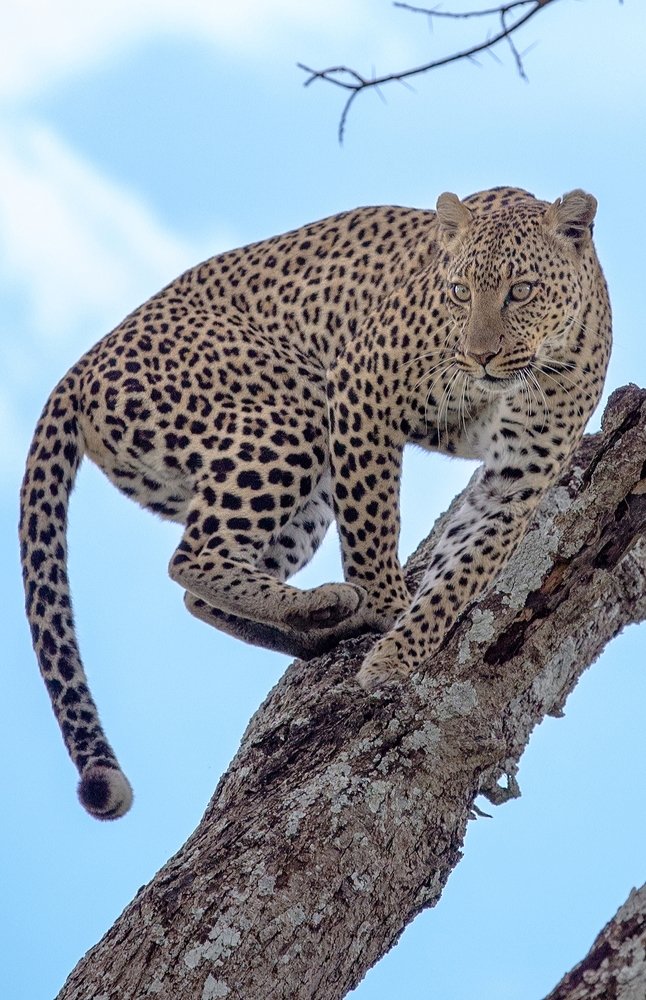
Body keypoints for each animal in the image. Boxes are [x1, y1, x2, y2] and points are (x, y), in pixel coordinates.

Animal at [19, 186, 611, 820]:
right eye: (458, 291)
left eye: (520, 290)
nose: (478, 355)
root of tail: (82, 364)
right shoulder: (361, 388)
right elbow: (374, 524)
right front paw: (388, 615)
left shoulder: (519, 476)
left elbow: (464, 568)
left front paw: (402, 649)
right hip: (296, 405)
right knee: (194, 556)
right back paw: (330, 605)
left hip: (302, 495)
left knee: (199, 590)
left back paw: (320, 621)